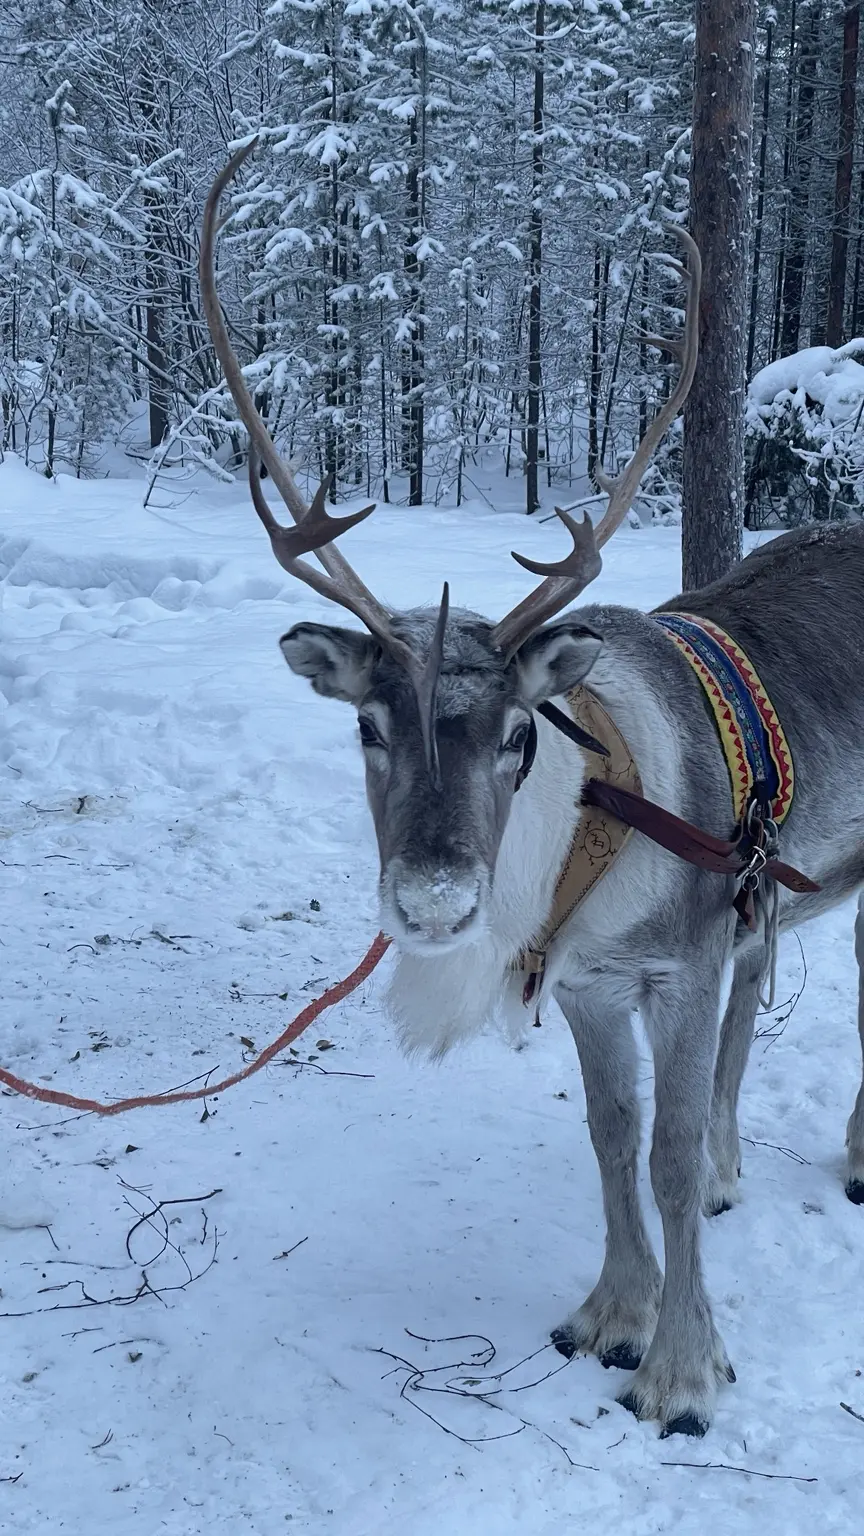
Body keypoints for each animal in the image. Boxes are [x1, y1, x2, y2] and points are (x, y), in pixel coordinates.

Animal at [200, 144, 864, 1439]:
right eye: (366, 725)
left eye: (517, 734)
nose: (435, 902)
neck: (586, 835)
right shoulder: (593, 983)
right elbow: (612, 1140)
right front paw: (611, 1313)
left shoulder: (674, 969)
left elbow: (657, 1156)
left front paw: (684, 1369)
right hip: (765, 894)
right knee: (754, 998)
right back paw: (732, 1168)